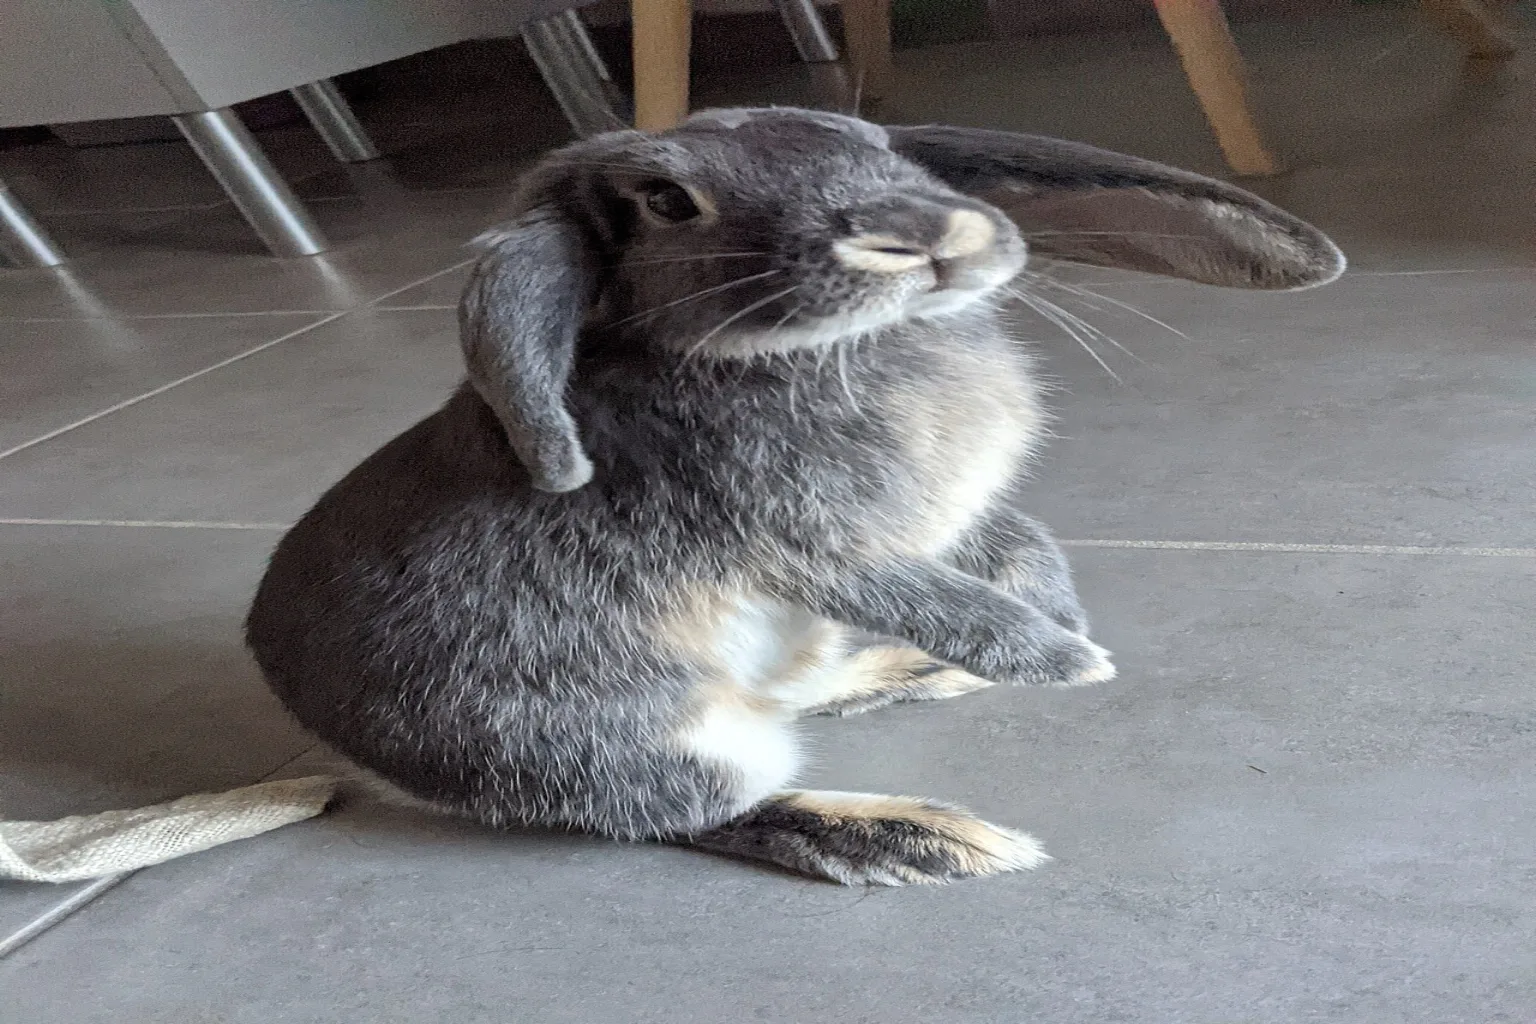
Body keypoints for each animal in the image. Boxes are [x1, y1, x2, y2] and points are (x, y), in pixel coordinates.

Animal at [246, 107, 1343, 886]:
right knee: (710, 810)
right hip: (641, 743)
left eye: (873, 141)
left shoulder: (958, 520)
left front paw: (1060, 619)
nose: (927, 234)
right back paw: (922, 837)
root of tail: (338, 746)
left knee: (800, 695)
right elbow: (942, 598)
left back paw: (910, 678)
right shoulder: (809, 548)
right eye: (667, 201)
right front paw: (1068, 660)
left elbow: (1021, 543)